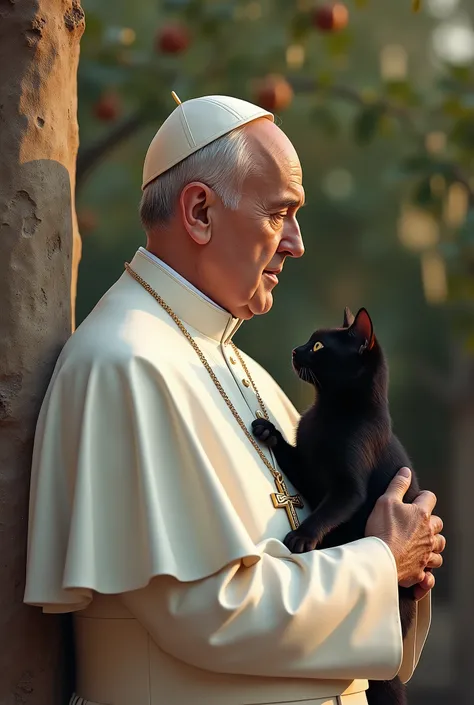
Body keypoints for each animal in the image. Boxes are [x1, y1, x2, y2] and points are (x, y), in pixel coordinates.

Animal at [252, 306, 418, 704]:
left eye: (318, 346)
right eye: (309, 341)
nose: (296, 349)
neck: (327, 412)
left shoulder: (347, 488)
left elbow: (327, 511)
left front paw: (301, 538)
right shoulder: (308, 471)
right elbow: (290, 451)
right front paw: (267, 430)